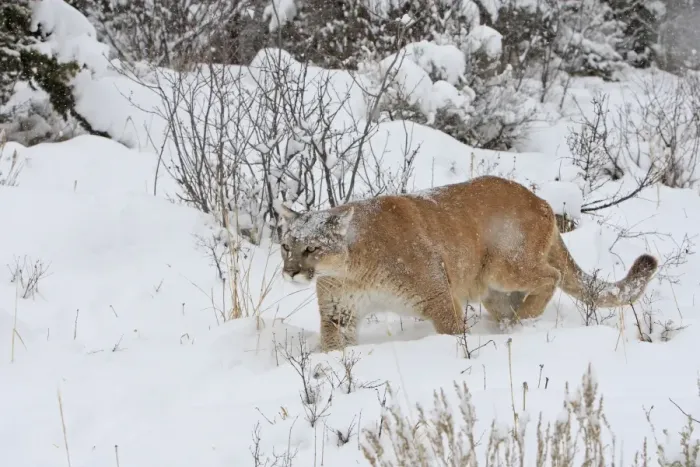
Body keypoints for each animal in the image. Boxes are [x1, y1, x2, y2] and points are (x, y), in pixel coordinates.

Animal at [276, 175, 658, 352]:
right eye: (285, 246)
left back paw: (524, 321)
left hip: (504, 265)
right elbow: (334, 344)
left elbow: (450, 330)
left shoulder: (437, 295)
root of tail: (542, 200)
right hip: (494, 292)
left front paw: (460, 349)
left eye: (311, 248)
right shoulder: (339, 311)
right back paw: (510, 324)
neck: (352, 270)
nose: (290, 271)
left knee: (552, 274)